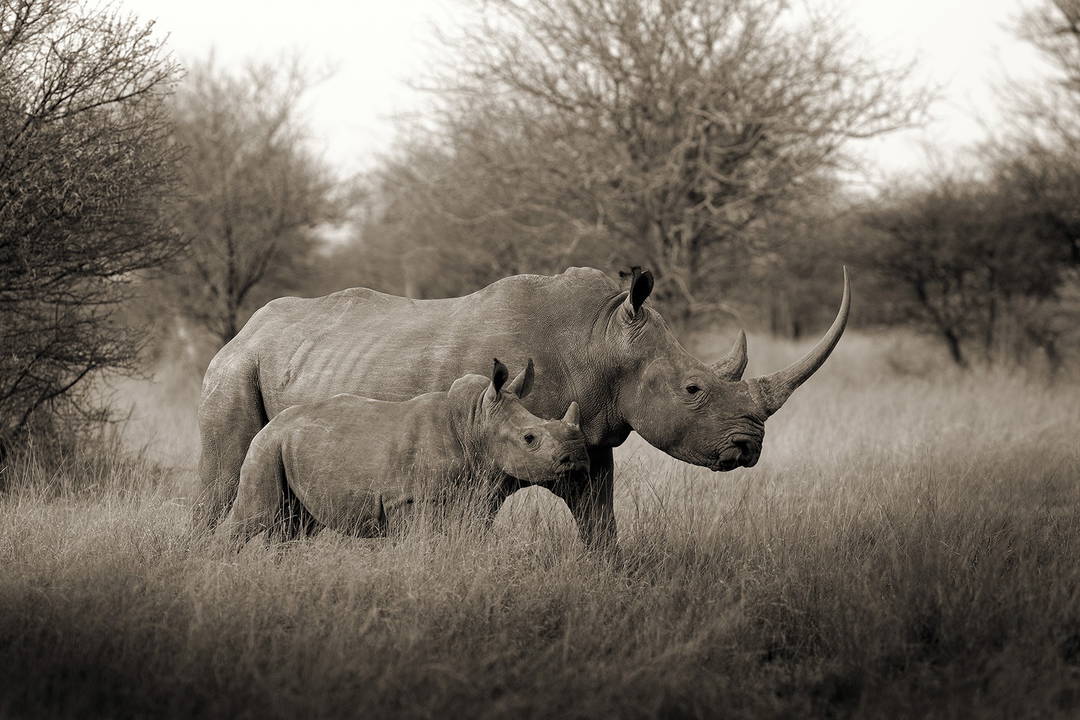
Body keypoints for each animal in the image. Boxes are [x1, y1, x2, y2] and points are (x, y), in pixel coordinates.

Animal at [218, 358, 588, 548]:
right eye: (529, 438)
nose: (577, 457)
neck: (474, 422)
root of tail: (273, 423)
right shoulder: (408, 499)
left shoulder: (468, 492)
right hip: (266, 446)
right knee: (256, 515)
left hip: (288, 446)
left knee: (295, 526)